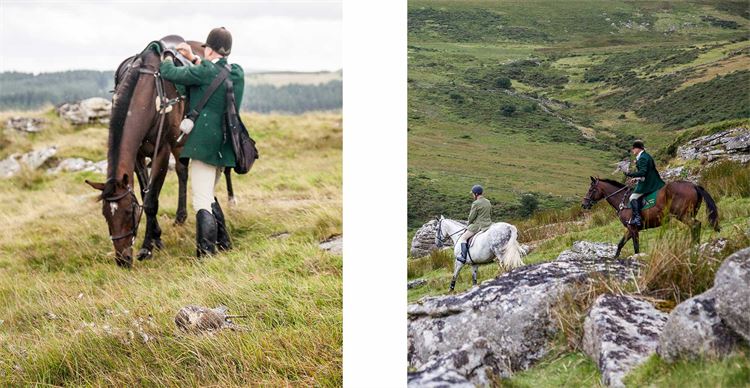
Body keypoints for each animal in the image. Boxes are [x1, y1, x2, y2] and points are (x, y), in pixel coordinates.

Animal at [580, 178, 724, 258]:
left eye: (591, 190)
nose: (584, 204)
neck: (623, 200)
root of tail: (693, 185)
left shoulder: (633, 228)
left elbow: (636, 247)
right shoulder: (630, 228)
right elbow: (620, 244)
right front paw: (615, 259)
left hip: (682, 215)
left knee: (695, 225)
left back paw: (694, 246)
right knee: (695, 226)